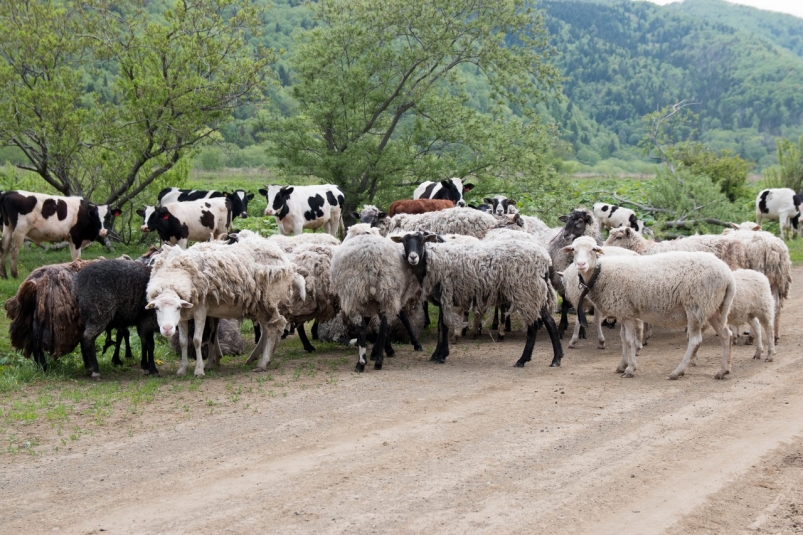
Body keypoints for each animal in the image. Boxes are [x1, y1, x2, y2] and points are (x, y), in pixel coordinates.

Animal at [144, 239, 302, 376]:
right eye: (156, 308)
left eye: (176, 307)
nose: (167, 329)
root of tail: (281, 255)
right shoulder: (183, 316)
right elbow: (183, 342)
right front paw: (182, 369)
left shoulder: (201, 310)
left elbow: (197, 340)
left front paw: (199, 370)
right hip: (260, 306)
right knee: (266, 331)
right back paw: (256, 358)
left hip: (270, 301)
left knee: (273, 329)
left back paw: (262, 363)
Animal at [330, 230, 424, 372]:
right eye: (406, 242)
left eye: (421, 241)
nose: (414, 258)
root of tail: (371, 260)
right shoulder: (396, 298)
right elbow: (402, 319)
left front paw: (379, 351)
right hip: (382, 293)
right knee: (379, 324)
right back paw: (372, 360)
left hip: (359, 294)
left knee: (364, 326)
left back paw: (363, 362)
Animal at [392, 228, 564, 370]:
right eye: (405, 242)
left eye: (422, 241)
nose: (413, 257)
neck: (432, 261)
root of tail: (545, 260)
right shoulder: (444, 300)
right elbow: (442, 326)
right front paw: (438, 354)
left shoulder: (445, 296)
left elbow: (443, 326)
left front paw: (440, 355)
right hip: (536, 292)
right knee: (549, 322)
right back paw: (556, 358)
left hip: (526, 291)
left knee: (533, 325)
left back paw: (522, 360)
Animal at [564, 236, 736, 382]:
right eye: (573, 250)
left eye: (593, 249)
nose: (581, 264)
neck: (600, 273)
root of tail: (728, 275)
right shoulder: (624, 312)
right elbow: (623, 339)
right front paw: (622, 365)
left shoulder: (626, 313)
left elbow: (629, 340)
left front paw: (630, 369)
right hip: (713, 308)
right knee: (725, 334)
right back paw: (723, 370)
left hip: (696, 306)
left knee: (695, 341)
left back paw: (677, 372)